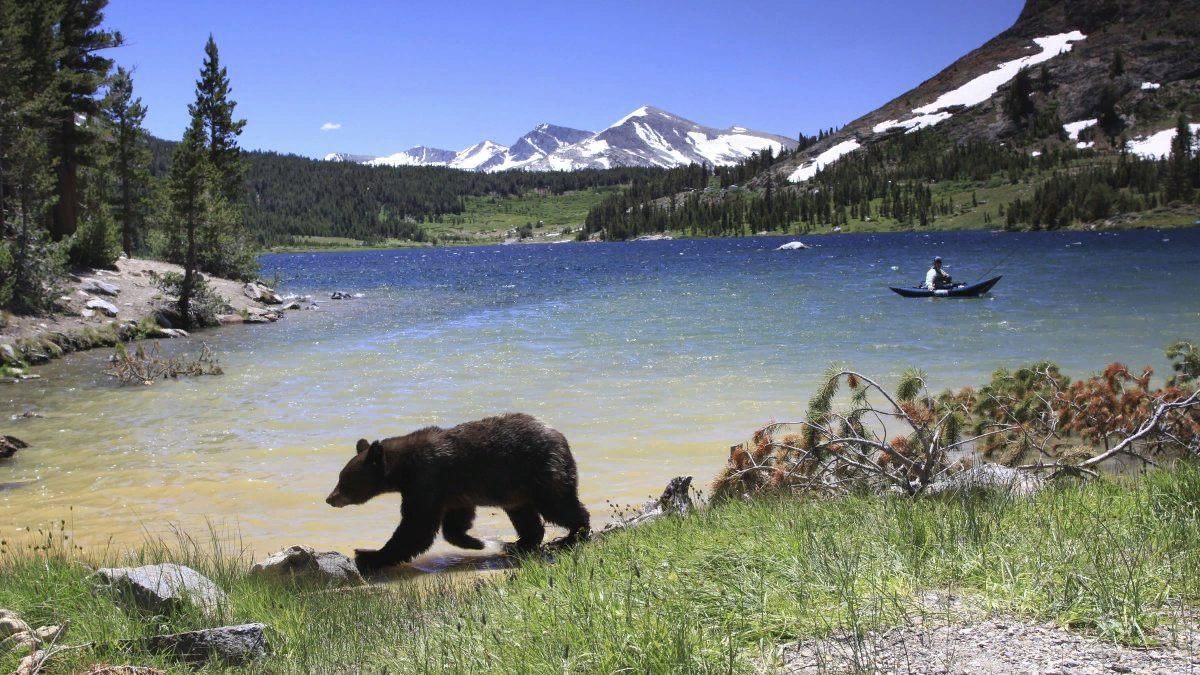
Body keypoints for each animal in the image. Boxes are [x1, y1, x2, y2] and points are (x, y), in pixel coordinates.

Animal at [326, 413, 592, 569]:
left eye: (344, 479)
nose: (330, 498)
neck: (404, 469)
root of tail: (561, 437)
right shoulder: (452, 491)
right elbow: (454, 521)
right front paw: (476, 541)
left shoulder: (427, 479)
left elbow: (416, 526)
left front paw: (369, 554)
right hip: (516, 489)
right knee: (525, 515)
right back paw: (519, 544)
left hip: (540, 471)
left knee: (558, 505)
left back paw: (571, 536)